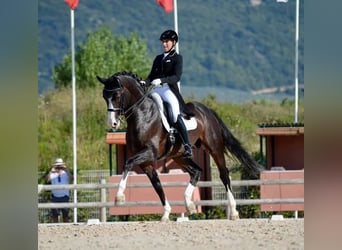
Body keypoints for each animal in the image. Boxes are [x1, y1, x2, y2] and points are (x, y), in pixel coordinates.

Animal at [96, 71, 262, 222]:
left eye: (117, 96)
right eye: (104, 96)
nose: (112, 123)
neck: (143, 116)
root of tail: (206, 110)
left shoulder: (150, 153)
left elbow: (128, 163)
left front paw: (119, 197)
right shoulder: (146, 162)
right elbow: (157, 185)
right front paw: (165, 214)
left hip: (214, 148)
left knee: (224, 175)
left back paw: (233, 212)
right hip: (179, 155)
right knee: (196, 171)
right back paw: (189, 204)